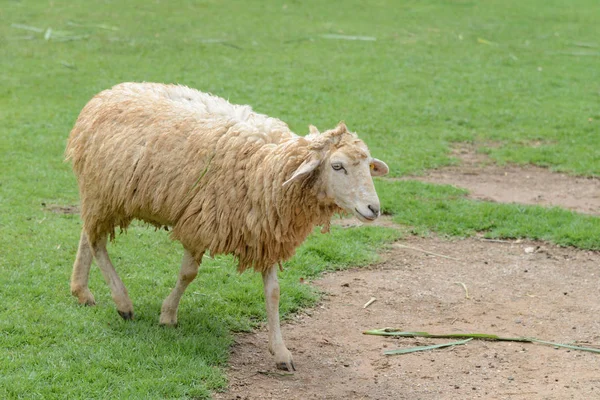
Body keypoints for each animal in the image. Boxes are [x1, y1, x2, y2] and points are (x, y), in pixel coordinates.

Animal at [63, 81, 386, 372]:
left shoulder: (264, 230)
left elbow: (273, 292)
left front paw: (280, 351)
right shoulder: (198, 221)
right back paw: (123, 302)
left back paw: (82, 291)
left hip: (102, 194)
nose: (374, 209)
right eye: (337, 166)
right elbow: (188, 273)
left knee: (88, 234)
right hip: (103, 191)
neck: (268, 168)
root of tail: (107, 92)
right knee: (97, 242)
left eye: (368, 166)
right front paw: (168, 315)